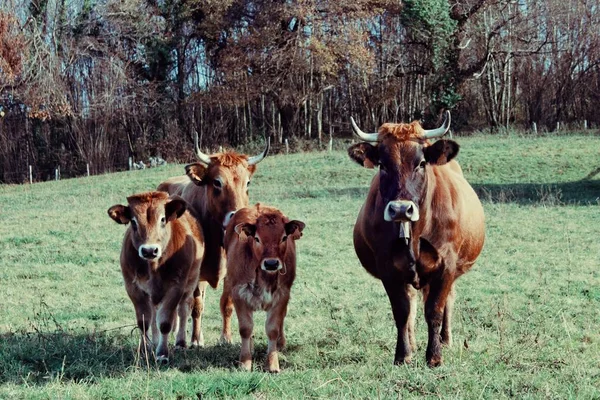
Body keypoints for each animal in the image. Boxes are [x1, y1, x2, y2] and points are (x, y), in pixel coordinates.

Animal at [110, 191, 206, 362]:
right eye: (133, 222)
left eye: (162, 219)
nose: (149, 250)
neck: (154, 267)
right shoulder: (133, 288)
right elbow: (144, 322)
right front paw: (145, 349)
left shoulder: (176, 287)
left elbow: (165, 322)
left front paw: (162, 353)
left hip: (190, 283)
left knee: (183, 309)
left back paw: (180, 342)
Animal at [157, 135, 270, 346]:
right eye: (217, 182)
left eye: (248, 183)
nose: (238, 217)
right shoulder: (197, 273)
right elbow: (196, 306)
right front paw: (194, 340)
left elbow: (227, 303)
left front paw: (226, 337)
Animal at [218, 205, 304, 374]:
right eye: (257, 238)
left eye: (284, 237)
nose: (271, 263)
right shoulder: (239, 294)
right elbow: (246, 328)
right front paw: (245, 362)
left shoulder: (282, 295)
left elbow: (273, 329)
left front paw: (272, 364)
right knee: (226, 306)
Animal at [350, 111, 486, 366]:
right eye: (382, 165)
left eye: (421, 163)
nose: (401, 209)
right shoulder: (388, 268)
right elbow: (402, 311)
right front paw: (403, 354)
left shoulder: (446, 264)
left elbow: (435, 310)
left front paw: (434, 356)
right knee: (412, 302)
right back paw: (413, 344)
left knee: (448, 299)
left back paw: (445, 339)